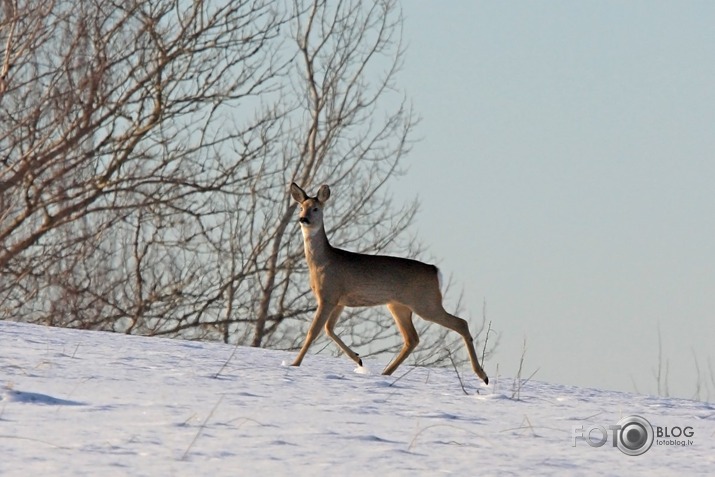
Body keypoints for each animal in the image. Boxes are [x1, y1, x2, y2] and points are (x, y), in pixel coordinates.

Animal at [288, 180, 490, 384]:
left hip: (426, 302)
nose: (303, 219)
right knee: (412, 338)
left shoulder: (328, 295)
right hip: (399, 306)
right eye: (301, 207)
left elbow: (313, 331)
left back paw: (483, 375)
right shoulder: (339, 300)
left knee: (460, 323)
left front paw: (294, 364)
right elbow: (329, 329)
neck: (322, 262)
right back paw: (386, 373)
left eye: (315, 208)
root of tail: (435, 271)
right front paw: (358, 359)